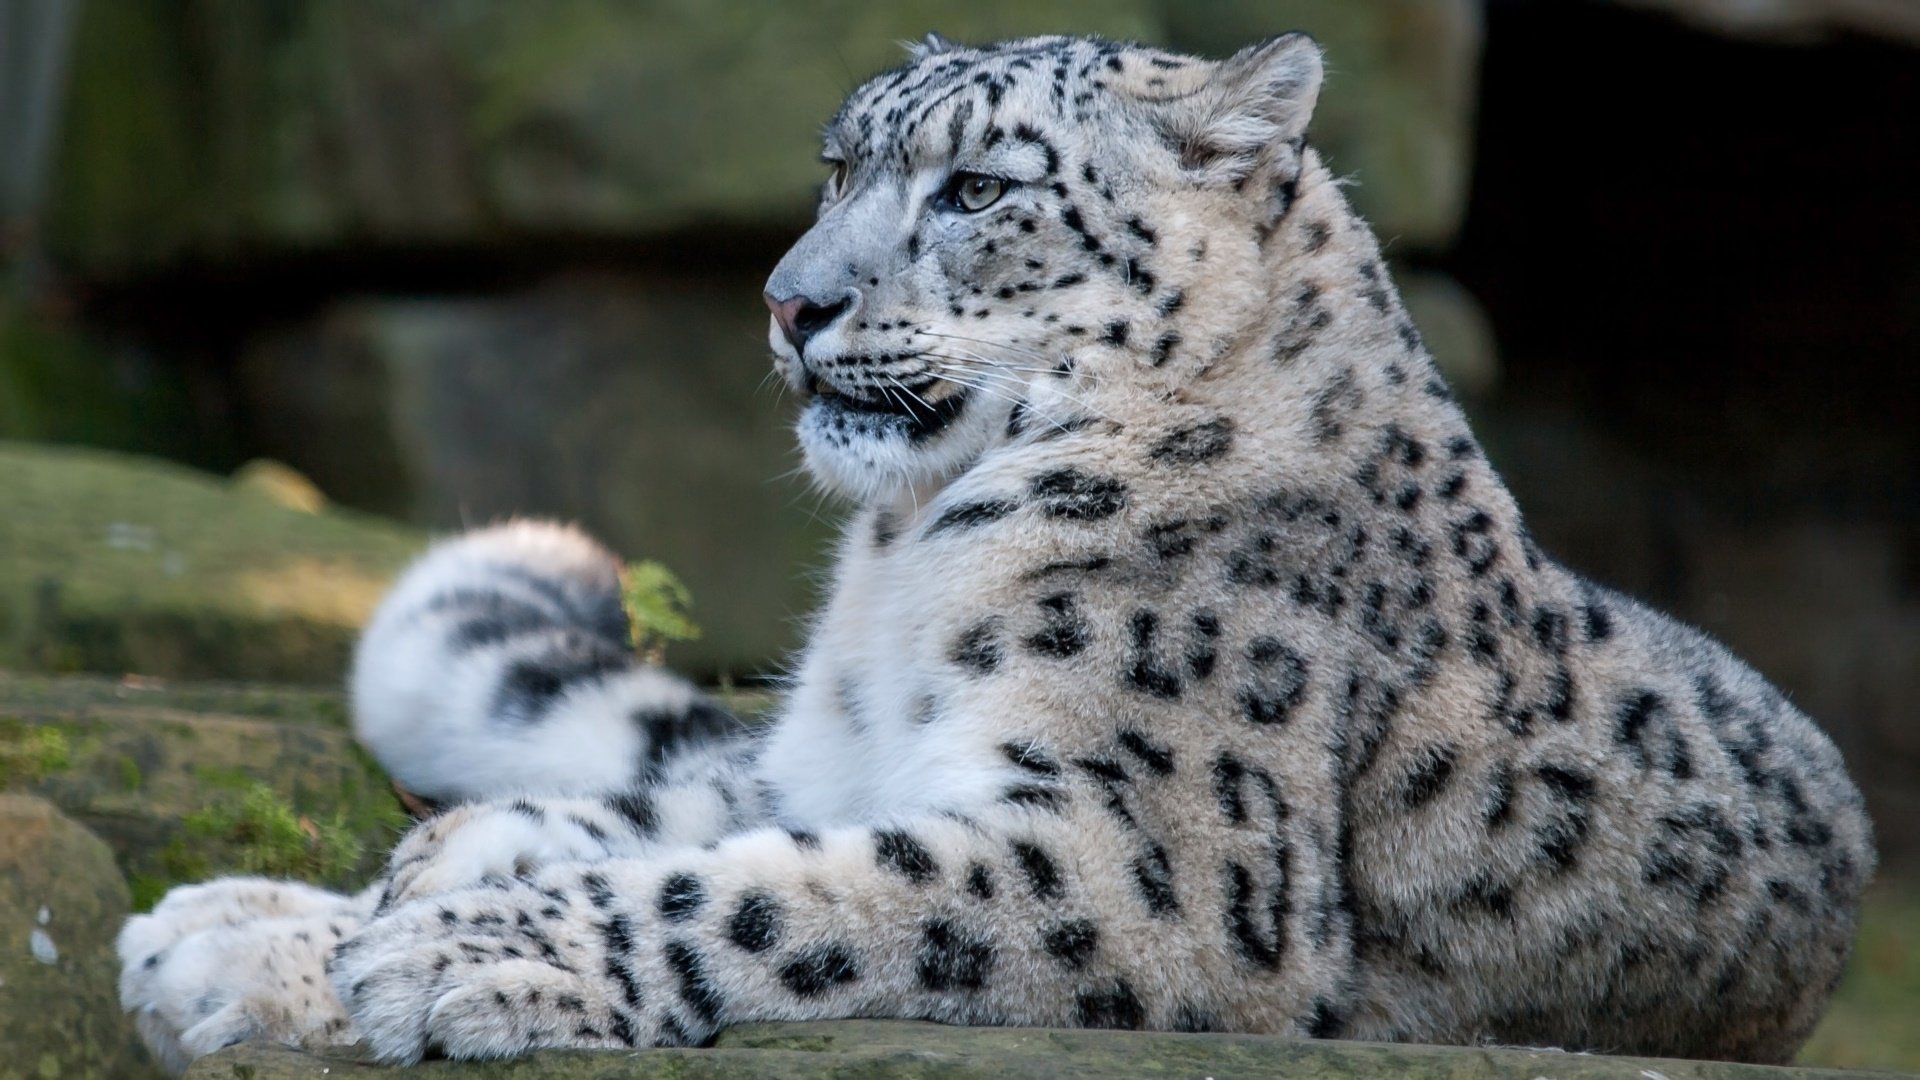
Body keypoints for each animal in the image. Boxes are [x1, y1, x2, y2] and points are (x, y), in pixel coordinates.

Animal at [118, 32, 1873, 1072]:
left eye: (976, 187)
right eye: (837, 163)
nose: (790, 299)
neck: (898, 576)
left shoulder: (1150, 857)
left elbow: (776, 894)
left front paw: (461, 948)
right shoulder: (838, 759)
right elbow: (697, 815)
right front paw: (268, 930)